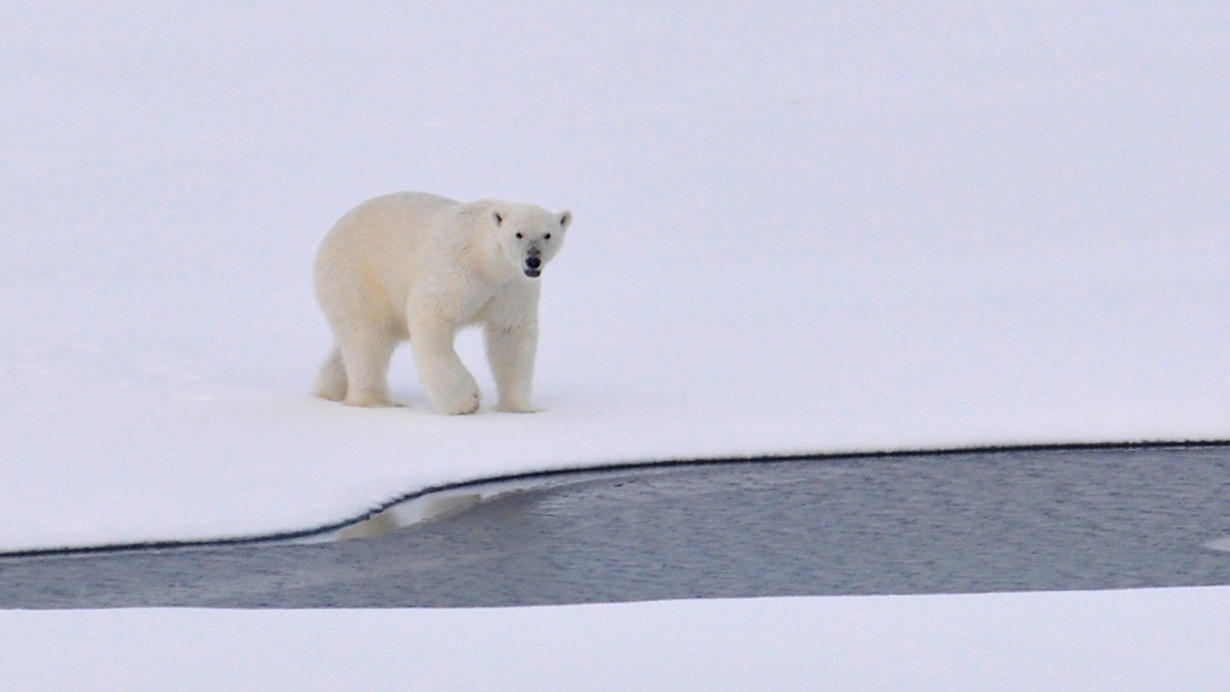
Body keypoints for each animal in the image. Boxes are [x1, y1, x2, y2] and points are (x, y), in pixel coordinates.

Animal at [312, 191, 570, 415]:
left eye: (548, 234)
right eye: (518, 234)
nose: (533, 259)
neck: (487, 260)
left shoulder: (512, 286)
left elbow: (511, 335)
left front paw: (520, 408)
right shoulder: (458, 268)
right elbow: (430, 311)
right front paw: (465, 400)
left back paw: (328, 389)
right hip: (359, 277)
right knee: (367, 338)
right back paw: (375, 401)